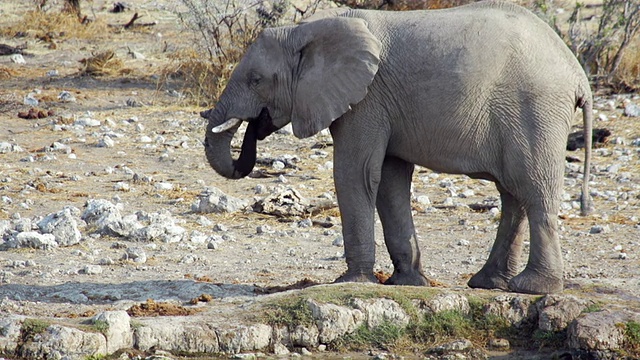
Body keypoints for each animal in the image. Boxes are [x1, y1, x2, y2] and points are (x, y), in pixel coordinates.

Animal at [201, 0, 596, 296]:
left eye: (256, 80)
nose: (254, 127)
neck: (305, 29)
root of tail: (578, 74)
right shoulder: (381, 104)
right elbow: (389, 181)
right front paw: (407, 283)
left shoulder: (366, 99)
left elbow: (355, 173)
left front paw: (350, 282)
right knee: (513, 193)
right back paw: (489, 284)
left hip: (535, 109)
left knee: (533, 188)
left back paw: (533, 288)